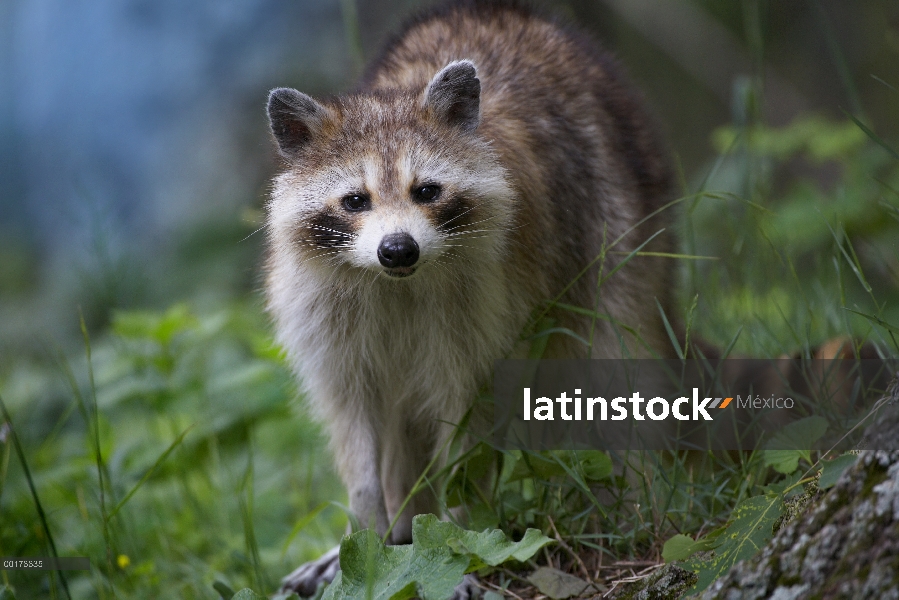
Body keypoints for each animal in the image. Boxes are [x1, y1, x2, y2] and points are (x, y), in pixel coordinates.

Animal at [264, 0, 672, 596]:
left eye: (427, 191)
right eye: (355, 200)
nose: (397, 249)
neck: (396, 284)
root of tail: (498, 12)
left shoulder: (487, 308)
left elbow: (468, 428)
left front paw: (456, 540)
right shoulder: (324, 319)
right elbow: (352, 416)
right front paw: (367, 525)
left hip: (620, 220)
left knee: (620, 358)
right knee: (400, 422)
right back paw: (400, 522)